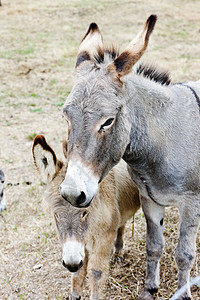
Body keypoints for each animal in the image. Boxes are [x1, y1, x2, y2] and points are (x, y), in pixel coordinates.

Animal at [32, 135, 140, 298]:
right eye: (56, 215)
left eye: (84, 212)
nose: (71, 264)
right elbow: (78, 272)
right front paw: (74, 295)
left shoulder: (104, 237)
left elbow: (96, 272)